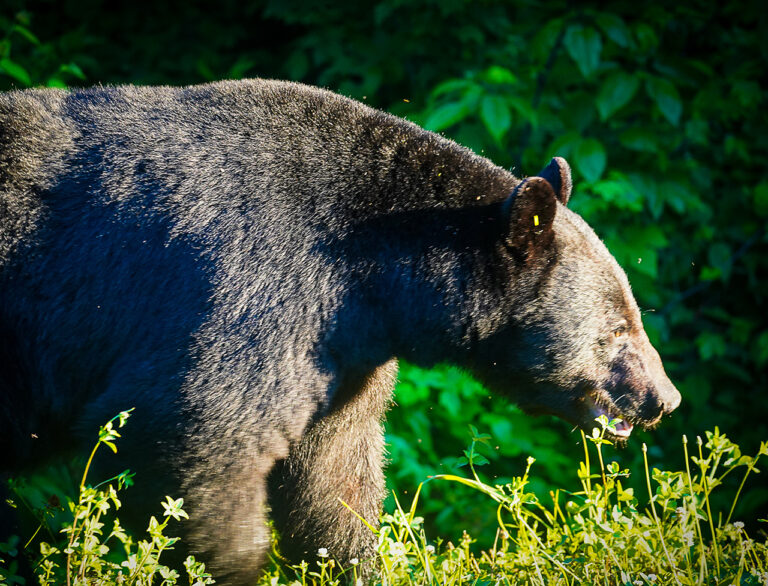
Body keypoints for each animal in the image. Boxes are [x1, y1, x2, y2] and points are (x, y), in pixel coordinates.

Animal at [0, 79, 681, 585]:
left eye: (632, 314)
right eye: (618, 328)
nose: (664, 399)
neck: (370, 278)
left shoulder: (344, 357)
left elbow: (334, 473)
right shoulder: (244, 294)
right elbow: (194, 437)